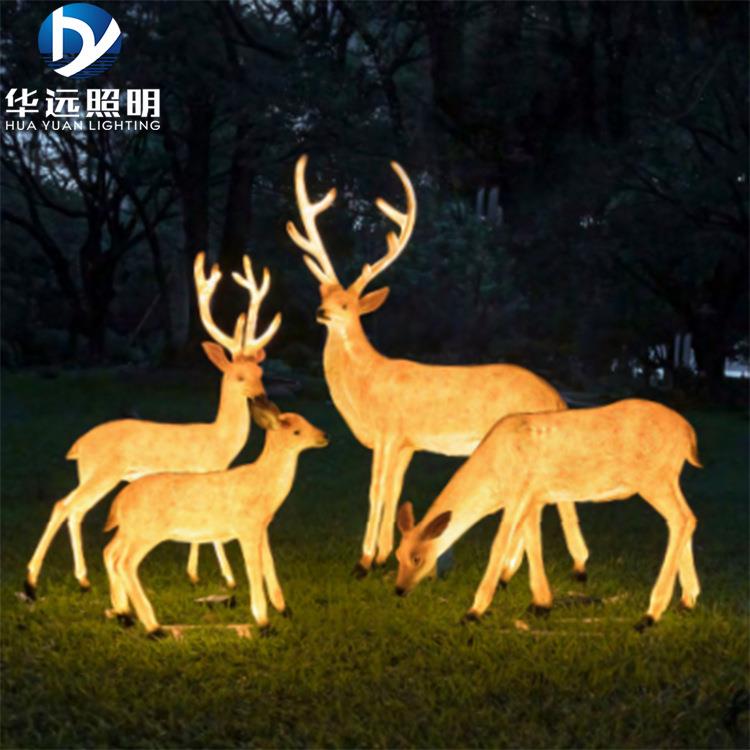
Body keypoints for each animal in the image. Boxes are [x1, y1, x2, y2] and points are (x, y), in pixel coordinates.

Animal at [24, 252, 281, 599]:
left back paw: (83, 578)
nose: (262, 397)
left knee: (75, 510)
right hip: (103, 472)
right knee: (63, 505)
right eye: (240, 376)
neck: (219, 440)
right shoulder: (204, 470)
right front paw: (228, 578)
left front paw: (194, 574)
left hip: (92, 473)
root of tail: (77, 446)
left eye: (260, 373)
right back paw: (33, 579)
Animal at [102, 411, 329, 638]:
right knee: (126, 563)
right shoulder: (247, 528)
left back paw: (124, 615)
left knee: (110, 552)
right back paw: (153, 628)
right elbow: (253, 569)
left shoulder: (262, 528)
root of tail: (118, 502)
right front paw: (264, 624)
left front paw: (284, 611)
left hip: (128, 531)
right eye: (296, 432)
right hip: (146, 533)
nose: (324, 436)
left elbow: (269, 564)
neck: (264, 483)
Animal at [286, 154, 590, 580]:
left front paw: (362, 561)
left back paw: (515, 570)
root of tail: (557, 398)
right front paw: (383, 555)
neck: (365, 385)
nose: (320, 312)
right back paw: (545, 568)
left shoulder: (389, 431)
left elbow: (376, 491)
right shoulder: (408, 442)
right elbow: (394, 491)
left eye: (347, 304)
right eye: (324, 294)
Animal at [393, 399, 701, 631]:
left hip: (653, 478)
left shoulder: (518, 492)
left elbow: (500, 544)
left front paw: (473, 612)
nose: (398, 589)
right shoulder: (535, 497)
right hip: (668, 479)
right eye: (397, 555)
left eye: (417, 558)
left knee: (681, 519)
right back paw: (686, 602)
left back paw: (650, 615)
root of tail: (689, 434)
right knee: (687, 518)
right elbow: (533, 542)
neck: (492, 475)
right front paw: (541, 604)